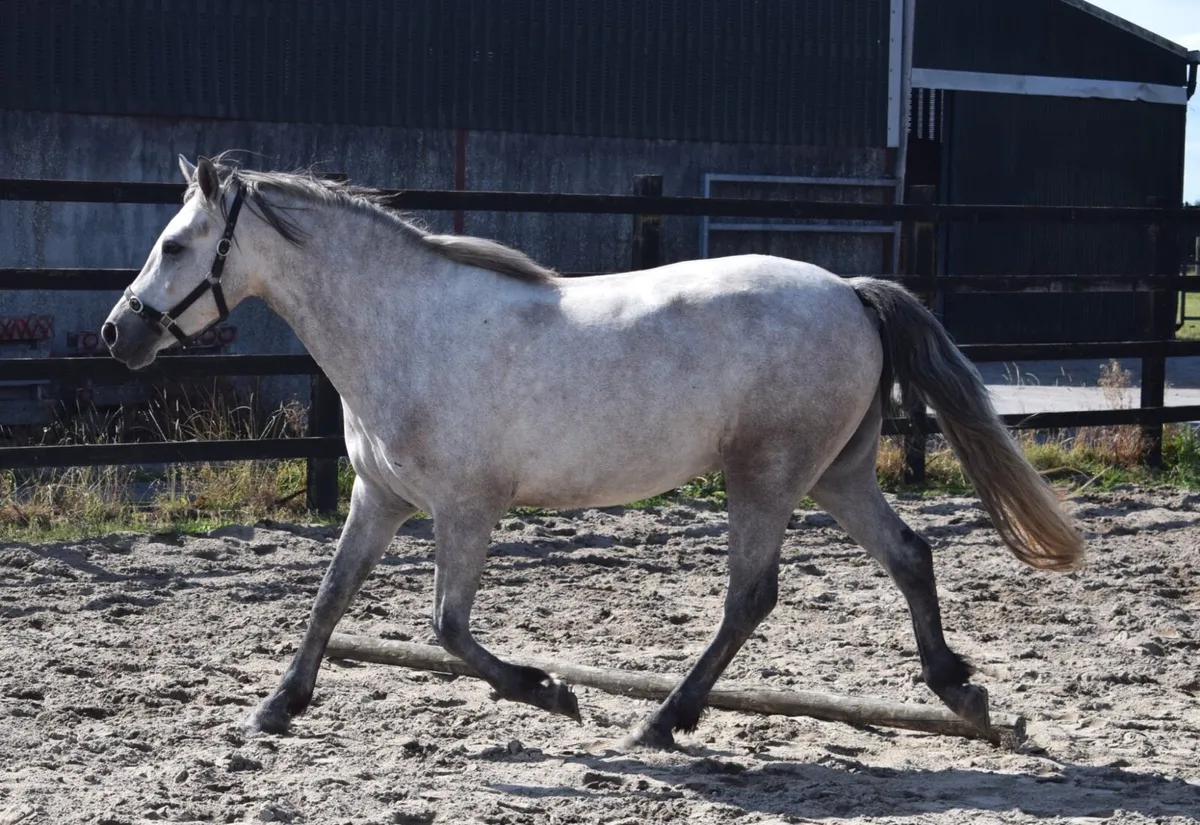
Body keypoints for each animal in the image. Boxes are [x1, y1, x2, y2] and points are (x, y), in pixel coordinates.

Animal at [103, 154, 1084, 749]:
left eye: (175, 244)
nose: (119, 333)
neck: (407, 329)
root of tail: (848, 287)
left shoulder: (467, 508)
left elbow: (448, 628)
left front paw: (550, 691)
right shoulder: (378, 496)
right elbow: (329, 596)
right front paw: (278, 704)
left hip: (766, 475)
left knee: (751, 596)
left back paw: (662, 721)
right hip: (834, 474)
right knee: (910, 553)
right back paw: (962, 694)